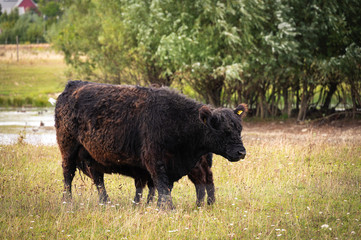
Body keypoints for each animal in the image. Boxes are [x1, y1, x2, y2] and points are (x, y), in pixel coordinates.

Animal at [55, 80, 248, 208]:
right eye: (224, 131)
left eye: (239, 129)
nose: (241, 152)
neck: (178, 120)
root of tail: (74, 85)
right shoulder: (155, 162)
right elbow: (161, 187)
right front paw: (167, 209)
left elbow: (160, 187)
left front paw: (155, 207)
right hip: (68, 149)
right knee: (68, 174)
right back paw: (67, 201)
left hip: (91, 156)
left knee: (98, 179)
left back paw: (105, 202)